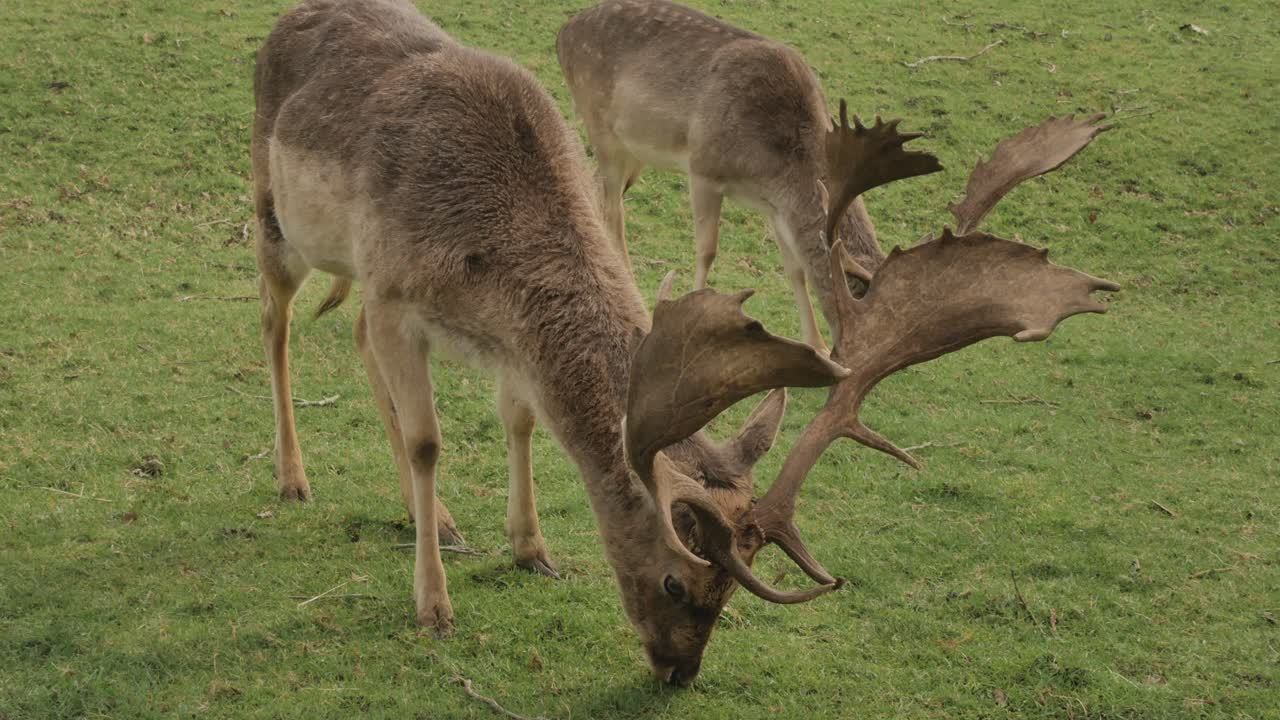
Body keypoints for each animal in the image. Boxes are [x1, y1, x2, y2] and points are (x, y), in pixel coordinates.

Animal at [557, 0, 935, 353]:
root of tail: (563, 33)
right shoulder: (703, 168)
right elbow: (707, 250)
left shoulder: (773, 206)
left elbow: (794, 267)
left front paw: (814, 343)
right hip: (600, 126)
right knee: (613, 209)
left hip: (634, 153)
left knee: (598, 188)